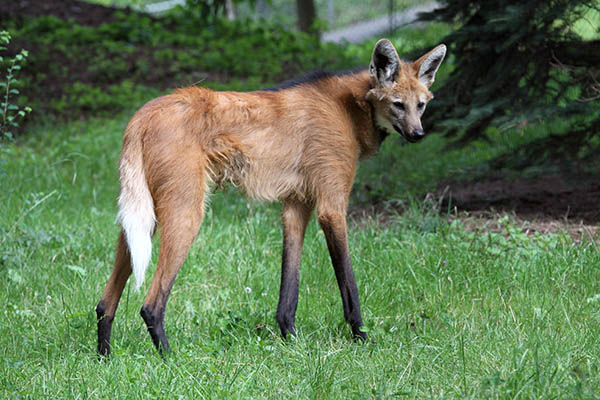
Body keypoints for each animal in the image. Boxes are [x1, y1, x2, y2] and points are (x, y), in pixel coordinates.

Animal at [95, 38, 446, 356]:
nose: (418, 134)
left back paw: (105, 357)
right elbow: (348, 283)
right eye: (398, 104)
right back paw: (169, 359)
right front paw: (361, 337)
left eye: (421, 105)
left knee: (104, 303)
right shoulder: (331, 208)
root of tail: (142, 115)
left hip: (145, 216)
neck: (348, 108)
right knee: (151, 305)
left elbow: (289, 285)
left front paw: (290, 338)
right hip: (185, 214)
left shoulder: (296, 205)